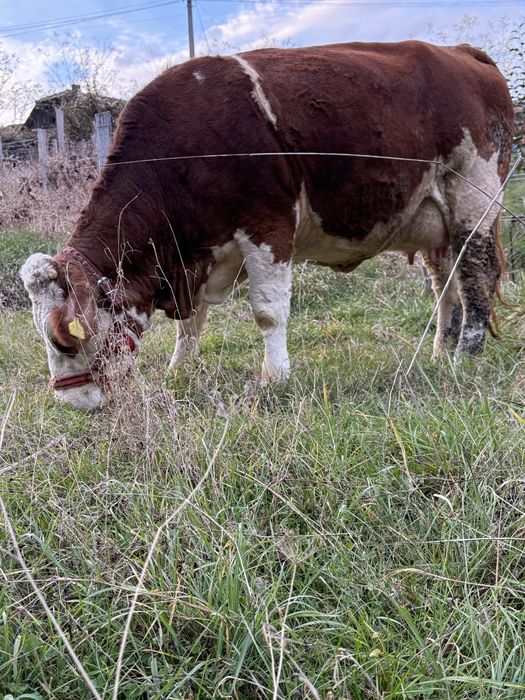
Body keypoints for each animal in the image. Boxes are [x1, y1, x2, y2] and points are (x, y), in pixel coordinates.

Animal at [20, 40, 514, 410]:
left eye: (64, 341)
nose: (72, 403)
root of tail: (462, 52)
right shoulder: (193, 255)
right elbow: (191, 323)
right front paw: (182, 367)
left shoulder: (267, 226)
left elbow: (268, 312)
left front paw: (275, 376)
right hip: (434, 222)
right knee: (445, 285)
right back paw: (440, 352)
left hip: (473, 197)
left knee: (476, 276)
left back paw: (465, 357)